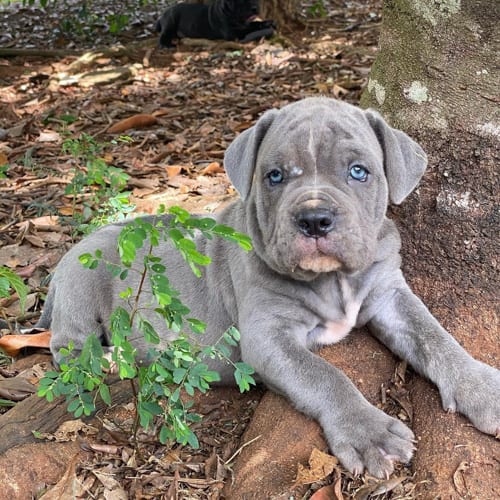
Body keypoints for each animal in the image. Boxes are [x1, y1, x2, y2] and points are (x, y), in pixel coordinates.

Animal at [41, 96, 498, 476]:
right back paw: (109, 359)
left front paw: (482, 388)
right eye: (274, 176)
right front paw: (368, 432)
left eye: (358, 172)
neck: (331, 279)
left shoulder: (391, 297)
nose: (314, 219)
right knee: (69, 347)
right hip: (82, 282)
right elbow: (325, 376)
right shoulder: (268, 337)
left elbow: (435, 337)